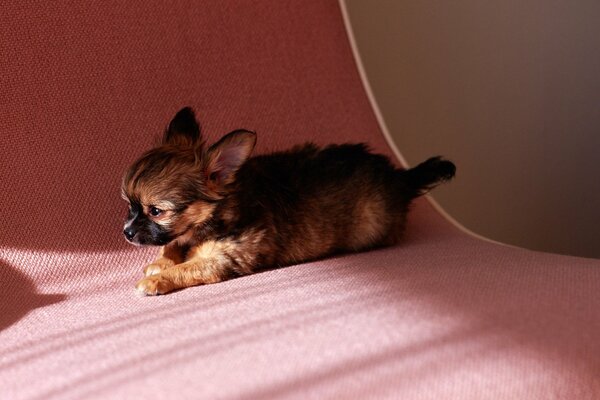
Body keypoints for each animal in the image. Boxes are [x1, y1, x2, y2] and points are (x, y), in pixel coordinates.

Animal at [122, 108, 454, 296]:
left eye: (156, 211)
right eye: (129, 204)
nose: (126, 232)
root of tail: (398, 179)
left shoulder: (222, 259)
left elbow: (188, 267)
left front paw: (159, 279)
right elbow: (172, 246)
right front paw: (161, 263)